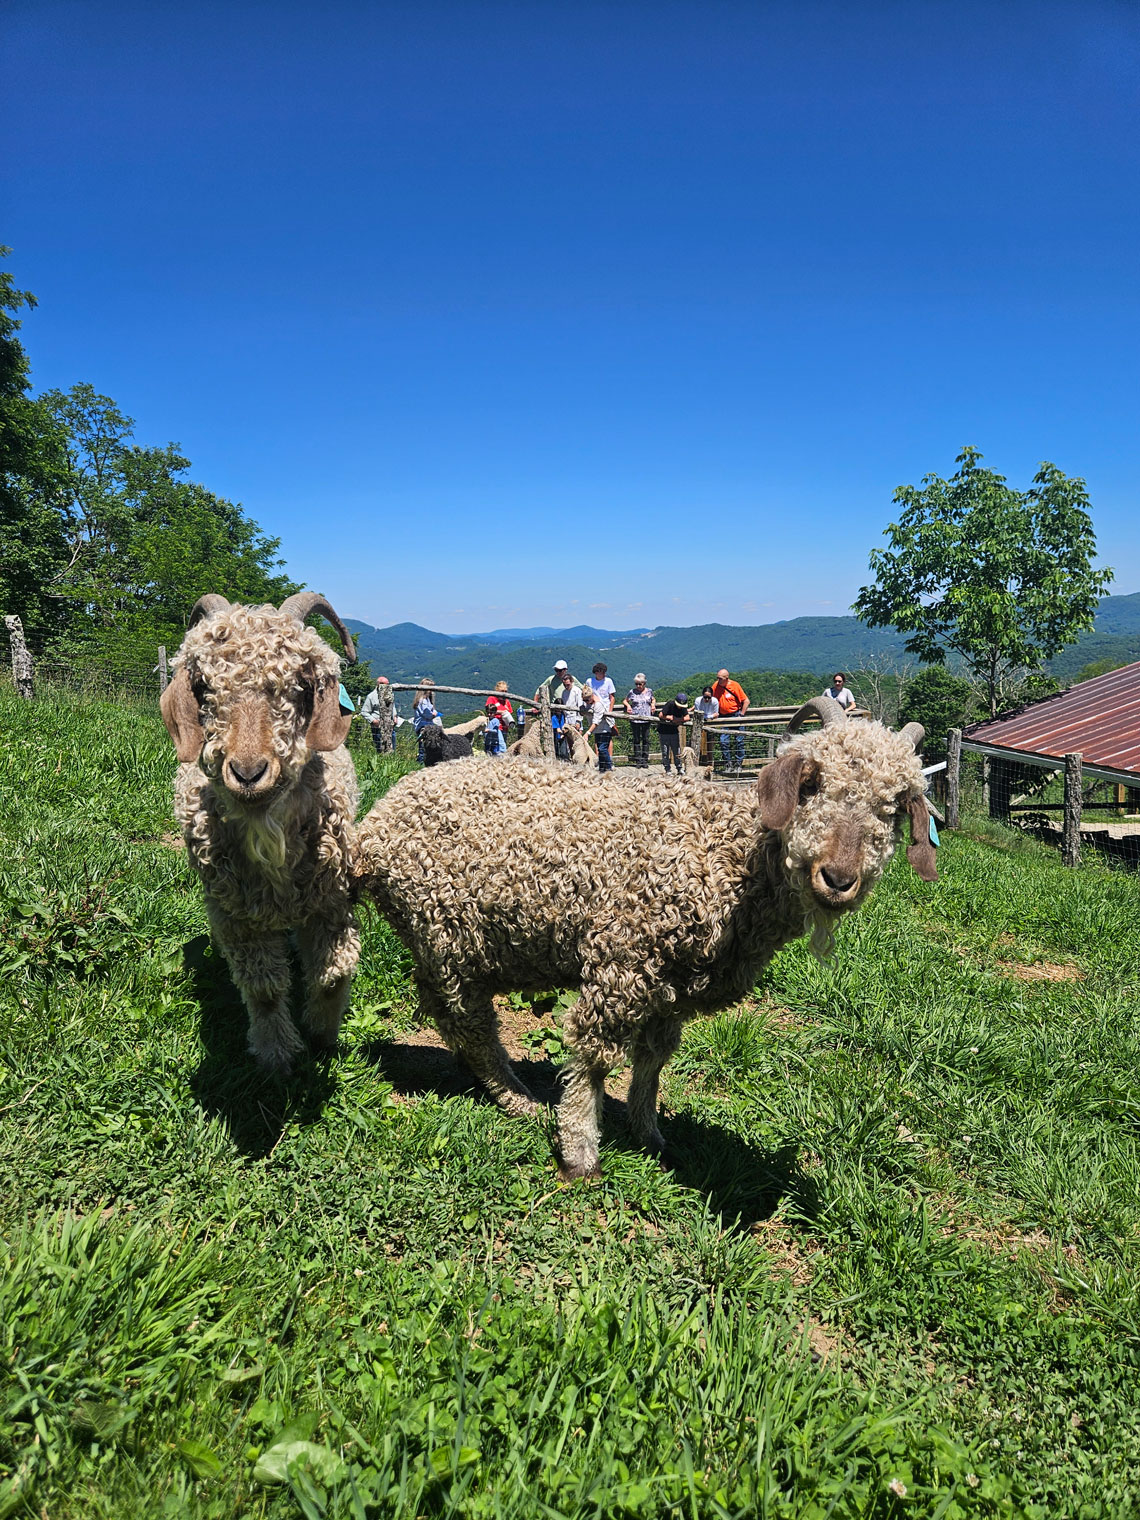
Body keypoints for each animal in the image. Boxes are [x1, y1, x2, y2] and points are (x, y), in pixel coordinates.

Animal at [160, 592, 360, 1073]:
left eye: (302, 685)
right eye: (203, 688)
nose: (248, 773)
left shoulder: (333, 898)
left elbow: (333, 974)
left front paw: (322, 1033)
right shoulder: (238, 915)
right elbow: (265, 989)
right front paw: (276, 1054)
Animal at [353, 699, 937, 1177]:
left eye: (894, 805)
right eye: (810, 784)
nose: (837, 878)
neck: (726, 854)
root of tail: (370, 832)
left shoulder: (670, 983)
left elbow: (654, 1057)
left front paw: (648, 1131)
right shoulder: (621, 957)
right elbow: (594, 1055)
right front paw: (579, 1151)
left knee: (448, 1012)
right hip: (448, 933)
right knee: (469, 1022)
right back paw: (517, 1099)